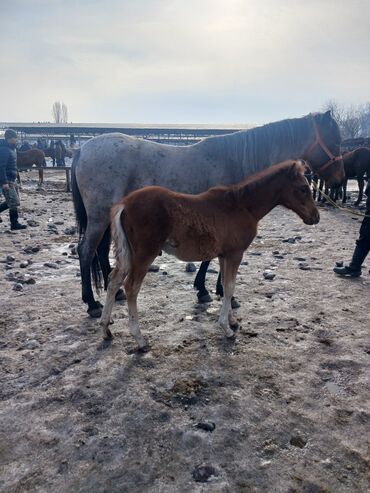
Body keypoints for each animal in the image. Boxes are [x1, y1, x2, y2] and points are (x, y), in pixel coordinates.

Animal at [72, 109, 344, 318]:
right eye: (336, 141)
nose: (340, 180)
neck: (238, 160)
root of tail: (82, 149)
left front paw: (208, 289)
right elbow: (212, 258)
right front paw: (215, 292)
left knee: (101, 251)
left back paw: (114, 291)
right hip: (98, 216)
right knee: (85, 251)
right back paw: (92, 303)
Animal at [99, 160, 320, 350]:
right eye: (303, 188)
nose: (316, 217)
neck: (241, 206)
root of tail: (124, 204)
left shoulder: (224, 255)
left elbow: (224, 284)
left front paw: (232, 320)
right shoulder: (235, 253)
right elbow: (230, 287)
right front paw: (227, 329)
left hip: (128, 253)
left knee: (113, 280)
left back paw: (105, 328)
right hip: (145, 254)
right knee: (131, 287)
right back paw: (139, 339)